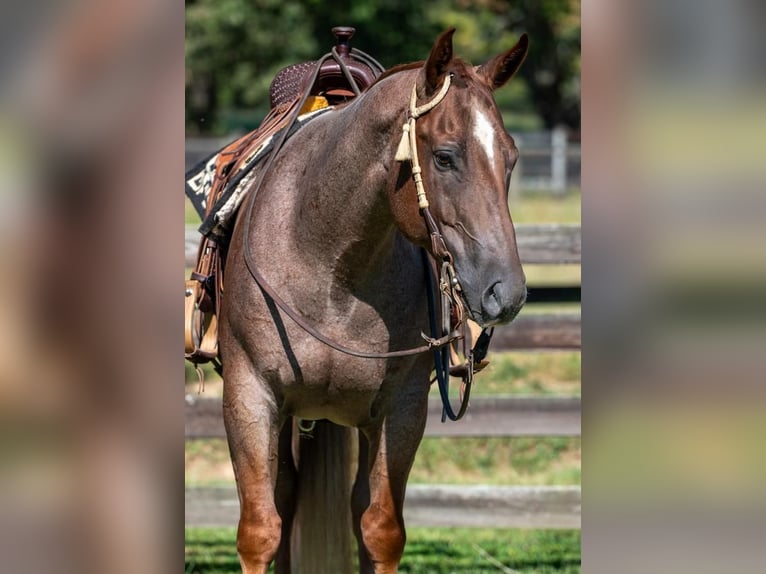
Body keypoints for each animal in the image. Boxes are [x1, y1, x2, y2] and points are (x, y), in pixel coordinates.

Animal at [216, 28, 528, 574]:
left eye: (509, 159)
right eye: (444, 156)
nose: (504, 292)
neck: (328, 260)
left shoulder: (401, 407)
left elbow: (380, 530)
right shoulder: (249, 393)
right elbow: (259, 530)